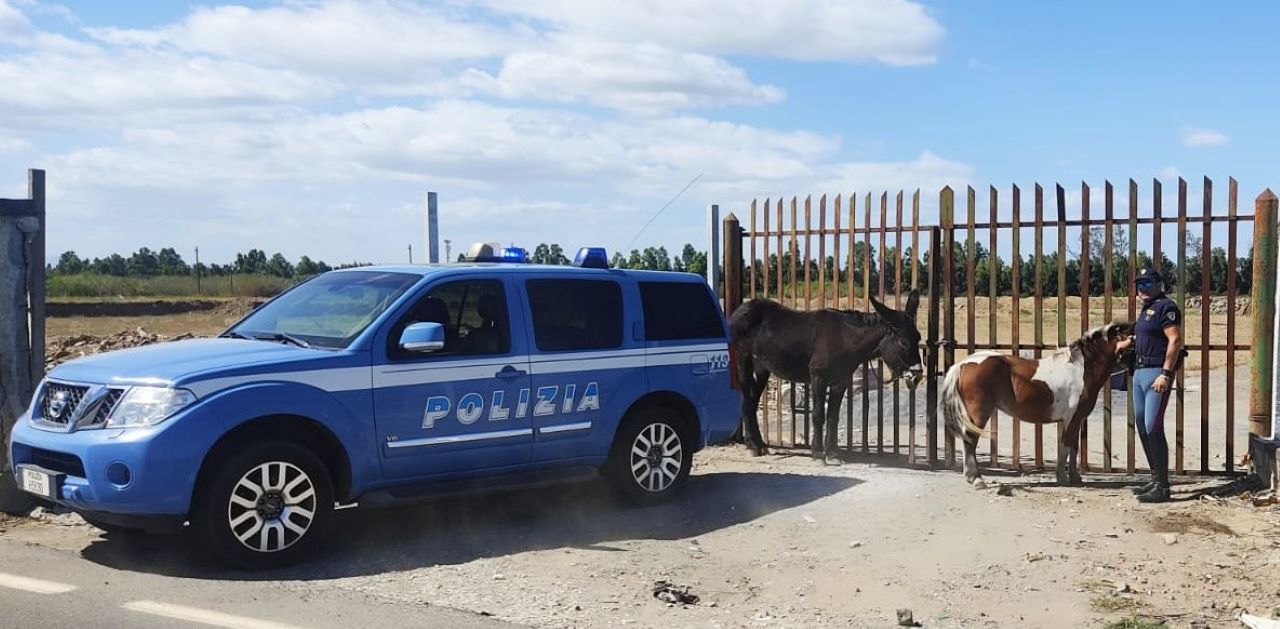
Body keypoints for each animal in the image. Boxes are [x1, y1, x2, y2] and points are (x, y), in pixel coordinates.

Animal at [942, 322, 1131, 489]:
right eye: (1130, 341)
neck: (1080, 370)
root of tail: (963, 364)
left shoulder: (1074, 420)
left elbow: (1073, 447)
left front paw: (1075, 477)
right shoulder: (1071, 418)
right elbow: (1065, 446)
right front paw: (1062, 478)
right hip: (979, 412)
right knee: (970, 439)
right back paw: (977, 479)